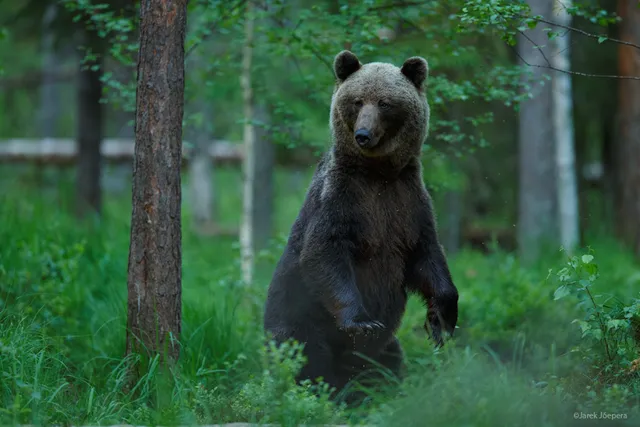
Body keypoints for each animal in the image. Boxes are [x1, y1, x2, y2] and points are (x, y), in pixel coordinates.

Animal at [262, 50, 459, 402]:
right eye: (356, 101)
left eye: (385, 102)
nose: (363, 134)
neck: (378, 173)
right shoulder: (341, 198)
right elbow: (324, 252)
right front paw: (363, 322)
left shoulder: (409, 203)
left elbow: (428, 256)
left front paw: (441, 321)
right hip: (297, 317)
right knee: (306, 358)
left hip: (383, 349)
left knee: (388, 359)